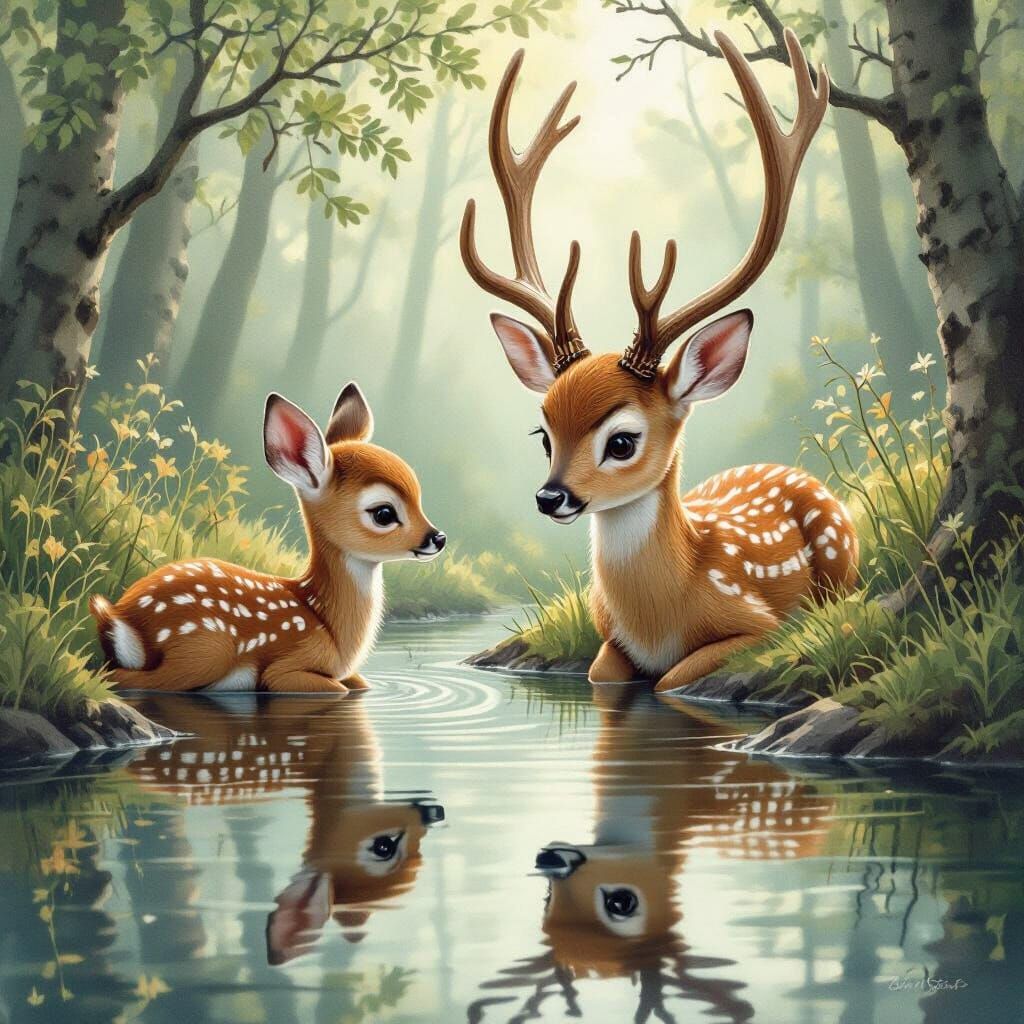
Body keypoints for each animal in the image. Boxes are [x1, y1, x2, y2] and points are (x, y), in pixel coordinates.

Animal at [90, 383, 446, 693]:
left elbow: (360, 684)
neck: (326, 622)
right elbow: (332, 688)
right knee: (120, 677)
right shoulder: (286, 669)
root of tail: (124, 619)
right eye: (383, 513)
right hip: (204, 649)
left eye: (419, 495)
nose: (438, 538)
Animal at [461, 31, 858, 693]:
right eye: (543, 434)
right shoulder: (606, 640)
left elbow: (674, 681)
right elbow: (601, 673)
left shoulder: (759, 622)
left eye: (622, 441)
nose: (550, 497)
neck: (659, 617)